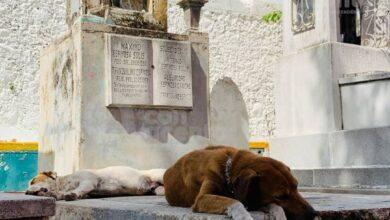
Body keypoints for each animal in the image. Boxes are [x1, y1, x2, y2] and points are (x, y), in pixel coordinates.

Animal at [163, 146, 318, 220]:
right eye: (281, 196)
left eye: (297, 187)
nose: (313, 214)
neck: (228, 168)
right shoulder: (202, 199)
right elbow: (235, 202)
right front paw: (244, 215)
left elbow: (275, 206)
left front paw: (280, 215)